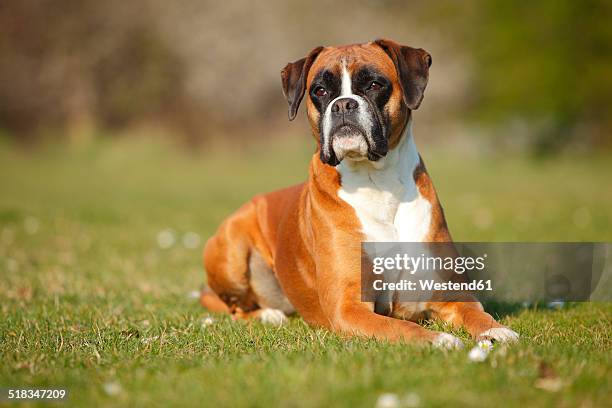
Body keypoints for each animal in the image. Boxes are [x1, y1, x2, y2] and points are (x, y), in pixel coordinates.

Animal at [201, 39, 516, 350]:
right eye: (320, 91)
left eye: (375, 85)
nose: (343, 104)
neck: (377, 181)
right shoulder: (348, 307)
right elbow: (398, 327)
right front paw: (439, 340)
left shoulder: (450, 294)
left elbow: (476, 313)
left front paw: (498, 331)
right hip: (232, 249)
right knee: (237, 309)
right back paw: (268, 315)